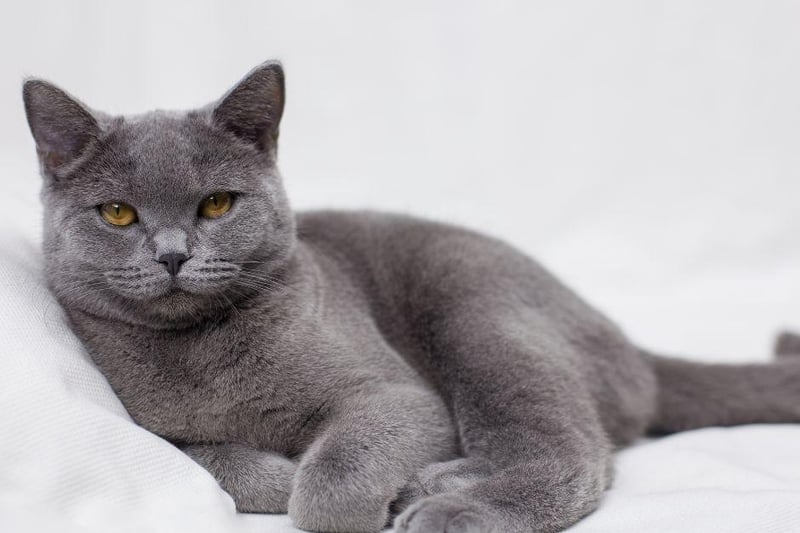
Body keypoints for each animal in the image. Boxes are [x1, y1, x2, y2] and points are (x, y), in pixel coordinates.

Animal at [21, 60, 796, 532]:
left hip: (476, 308)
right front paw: (280, 475)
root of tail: (632, 347)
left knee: (575, 452)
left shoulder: (394, 393)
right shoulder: (154, 430)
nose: (174, 254)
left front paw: (332, 492)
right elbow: (214, 461)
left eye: (216, 204)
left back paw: (442, 501)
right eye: (118, 213)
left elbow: (336, 472)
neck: (202, 354)